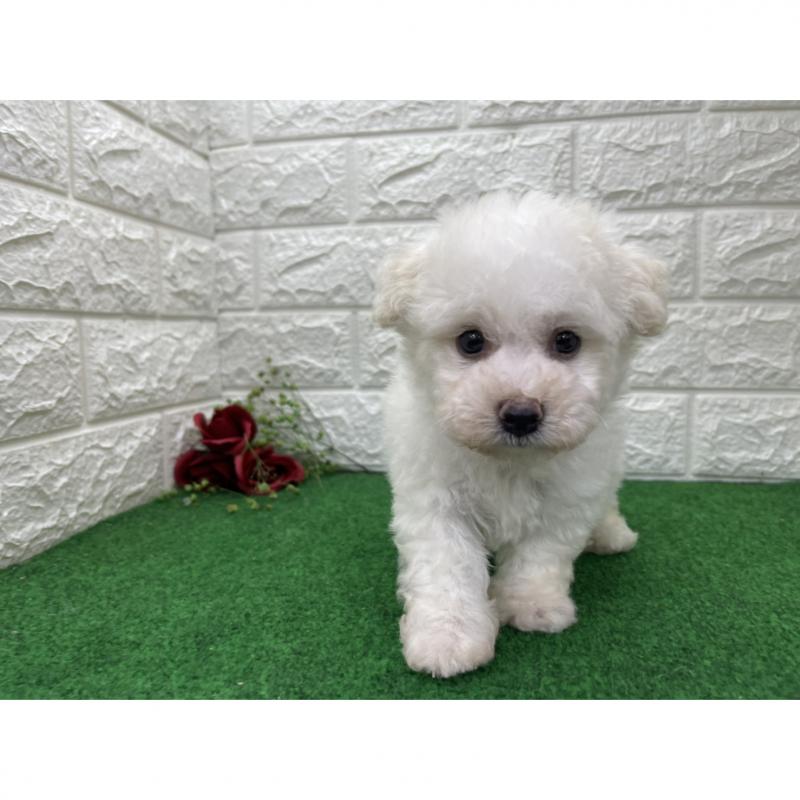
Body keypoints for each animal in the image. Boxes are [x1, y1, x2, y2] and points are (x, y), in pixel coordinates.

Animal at [373, 190, 668, 677]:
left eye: (567, 341)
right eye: (470, 341)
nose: (521, 414)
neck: (509, 461)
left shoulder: (568, 499)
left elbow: (540, 556)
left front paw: (533, 606)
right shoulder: (436, 503)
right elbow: (448, 568)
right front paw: (447, 637)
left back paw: (612, 535)